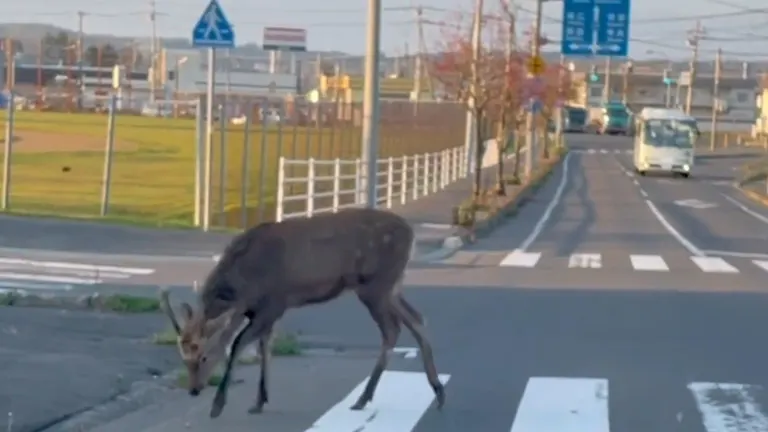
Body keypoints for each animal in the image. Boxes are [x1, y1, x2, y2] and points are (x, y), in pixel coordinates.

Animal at [159, 206, 448, 418]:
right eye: (183, 358)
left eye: (204, 356)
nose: (193, 389)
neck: (244, 285)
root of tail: (411, 235)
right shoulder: (257, 310)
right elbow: (264, 347)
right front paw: (260, 400)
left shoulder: (274, 303)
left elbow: (239, 343)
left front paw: (218, 405)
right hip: (390, 287)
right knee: (417, 318)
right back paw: (437, 392)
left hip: (375, 284)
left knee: (392, 329)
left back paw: (365, 398)